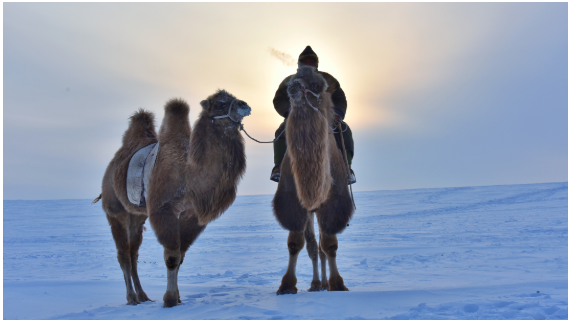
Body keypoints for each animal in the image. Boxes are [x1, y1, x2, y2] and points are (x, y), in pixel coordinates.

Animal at [97, 90, 251, 308]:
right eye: (221, 103)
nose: (244, 105)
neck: (189, 175)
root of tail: (111, 168)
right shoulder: (164, 210)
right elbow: (172, 256)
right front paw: (169, 299)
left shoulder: (191, 215)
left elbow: (181, 256)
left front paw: (177, 298)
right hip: (116, 211)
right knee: (124, 254)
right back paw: (131, 298)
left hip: (138, 216)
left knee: (134, 252)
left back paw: (143, 296)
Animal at [272, 65, 356, 296]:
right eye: (292, 78)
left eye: (317, 84)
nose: (294, 85)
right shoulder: (293, 202)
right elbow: (295, 243)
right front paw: (287, 285)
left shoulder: (333, 202)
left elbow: (329, 245)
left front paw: (337, 284)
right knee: (312, 246)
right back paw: (316, 283)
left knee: (321, 246)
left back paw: (324, 283)